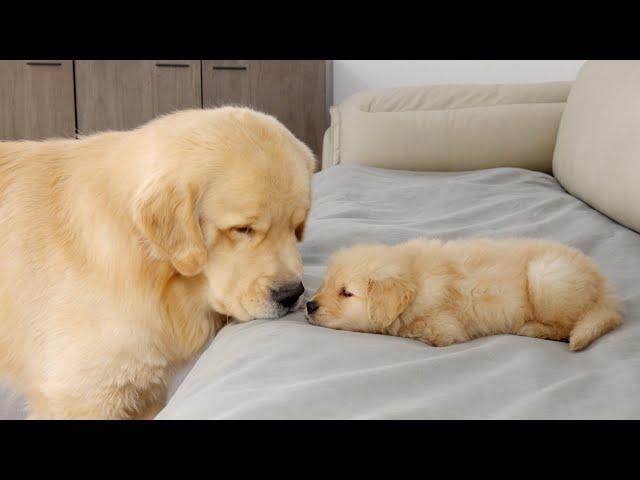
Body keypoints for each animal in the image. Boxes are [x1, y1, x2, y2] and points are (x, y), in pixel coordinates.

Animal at [308, 238, 624, 350]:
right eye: (324, 284)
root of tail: (604, 286)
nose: (309, 306)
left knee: (564, 328)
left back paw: (531, 328)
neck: (414, 275)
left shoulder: (444, 327)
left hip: (546, 276)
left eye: (346, 293)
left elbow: (417, 328)